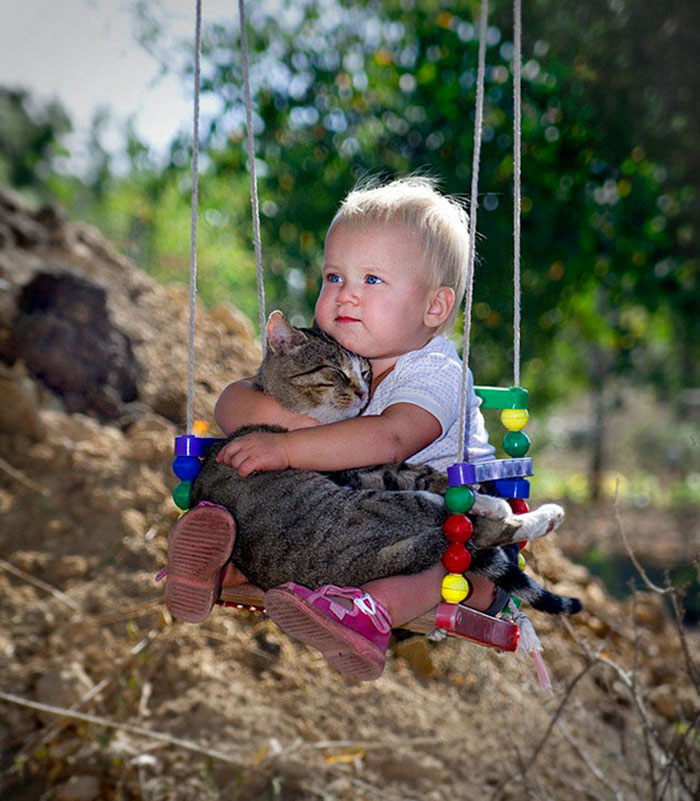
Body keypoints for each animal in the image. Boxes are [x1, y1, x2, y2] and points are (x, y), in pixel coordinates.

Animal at [190, 310, 580, 612]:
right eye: (334, 371)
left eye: (365, 372)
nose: (364, 392)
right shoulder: (359, 469)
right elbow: (425, 475)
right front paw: (488, 500)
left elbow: (423, 472)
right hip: (386, 506)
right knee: (475, 528)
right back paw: (529, 513)